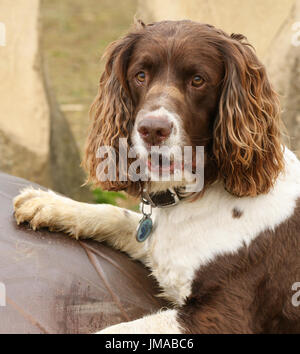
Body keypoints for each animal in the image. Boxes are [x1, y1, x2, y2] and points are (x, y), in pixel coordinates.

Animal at [12, 20, 300, 334]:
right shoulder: (155, 247)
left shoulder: (224, 315)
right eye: (140, 75)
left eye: (198, 79)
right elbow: (116, 214)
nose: (152, 129)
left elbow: (116, 329)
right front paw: (48, 204)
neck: (190, 194)